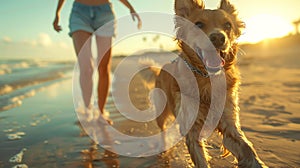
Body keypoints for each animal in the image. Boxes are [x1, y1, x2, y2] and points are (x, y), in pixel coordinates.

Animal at [145, 0, 268, 167]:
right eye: (198, 24)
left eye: (228, 25)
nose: (218, 38)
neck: (207, 79)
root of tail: (161, 69)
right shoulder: (192, 129)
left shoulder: (230, 124)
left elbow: (248, 150)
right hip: (162, 112)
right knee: (162, 129)